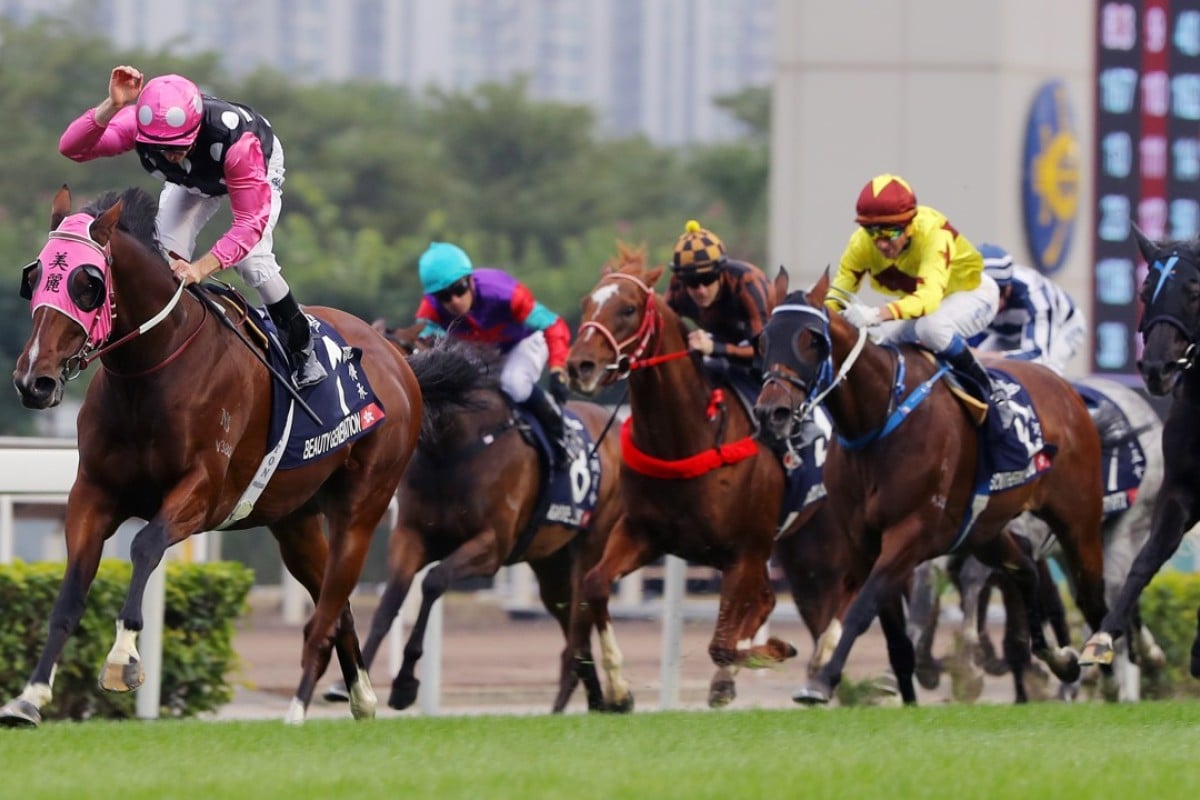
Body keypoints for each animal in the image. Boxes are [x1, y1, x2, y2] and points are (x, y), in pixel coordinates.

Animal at [1, 185, 422, 724]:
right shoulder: (92, 493)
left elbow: (145, 546)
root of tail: (396, 358)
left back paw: (298, 709)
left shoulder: (205, 492)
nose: (33, 381)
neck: (152, 370)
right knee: (339, 607)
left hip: (362, 508)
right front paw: (29, 697)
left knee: (326, 614)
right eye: (35, 277)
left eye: (87, 284)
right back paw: (362, 698)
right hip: (295, 521)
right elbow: (70, 592)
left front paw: (123, 659)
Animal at [324, 338, 633, 714]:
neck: (453, 449)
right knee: (572, 623)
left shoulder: (492, 546)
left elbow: (433, 581)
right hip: (551, 563)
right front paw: (350, 684)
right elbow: (389, 602)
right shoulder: (411, 536)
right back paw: (597, 701)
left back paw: (607, 697)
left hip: (592, 543)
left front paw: (405, 683)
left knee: (582, 616)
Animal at [559, 244, 796, 705]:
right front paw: (620, 688)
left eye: (628, 308)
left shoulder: (742, 551)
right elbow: (595, 584)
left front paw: (772, 650)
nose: (579, 366)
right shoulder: (643, 533)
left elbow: (722, 644)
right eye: (586, 303)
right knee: (764, 602)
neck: (690, 435)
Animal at [748, 267, 1104, 700]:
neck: (877, 420)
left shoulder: (911, 534)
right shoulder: (864, 541)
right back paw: (1060, 659)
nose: (772, 414)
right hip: (983, 531)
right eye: (763, 339)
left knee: (1094, 598)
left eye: (812, 339)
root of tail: (1067, 391)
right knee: (1025, 571)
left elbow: (862, 609)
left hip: (1078, 520)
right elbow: (896, 642)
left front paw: (823, 680)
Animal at [1084, 226, 1200, 676]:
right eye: (1145, 289)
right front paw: (1102, 638)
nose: (1156, 369)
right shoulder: (1179, 488)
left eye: (1194, 290)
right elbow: (1147, 559)